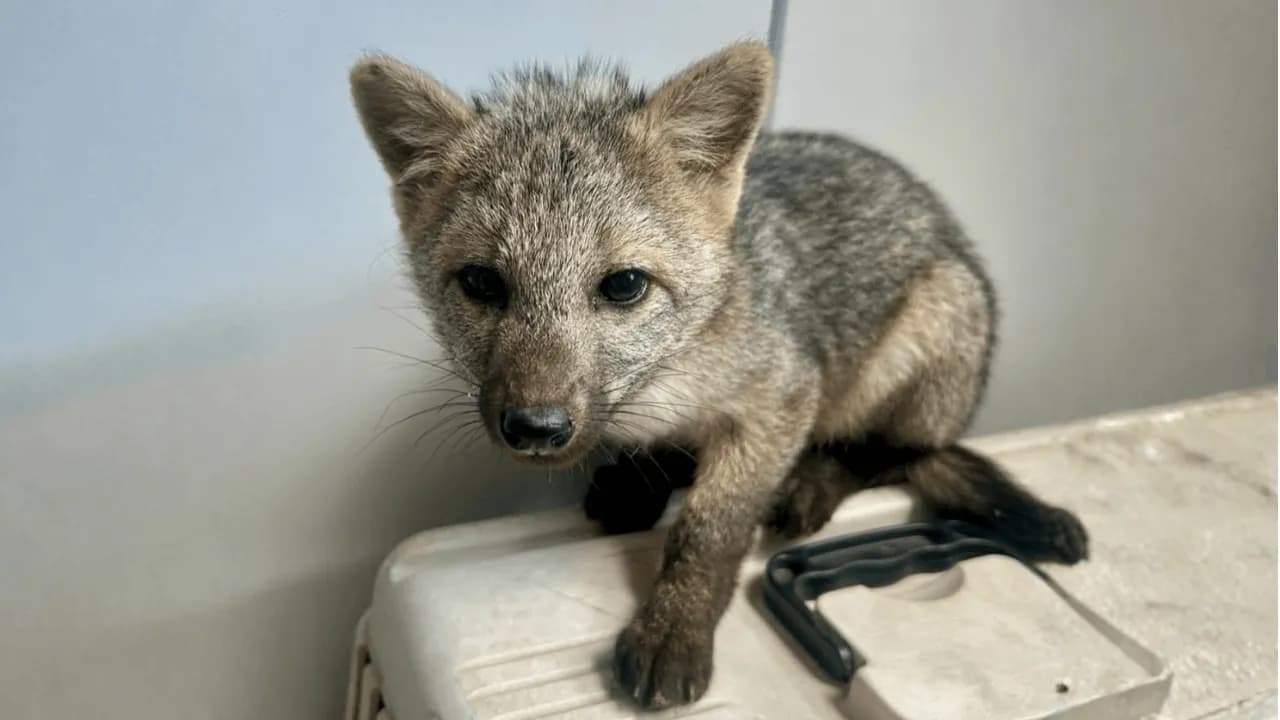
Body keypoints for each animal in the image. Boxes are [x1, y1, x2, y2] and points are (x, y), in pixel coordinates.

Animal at [349, 42, 1089, 709]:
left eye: (624, 285)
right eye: (481, 283)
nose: (535, 427)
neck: (663, 385)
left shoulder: (785, 394)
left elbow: (710, 528)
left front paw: (676, 625)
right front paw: (644, 477)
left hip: (932, 329)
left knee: (892, 453)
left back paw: (813, 480)